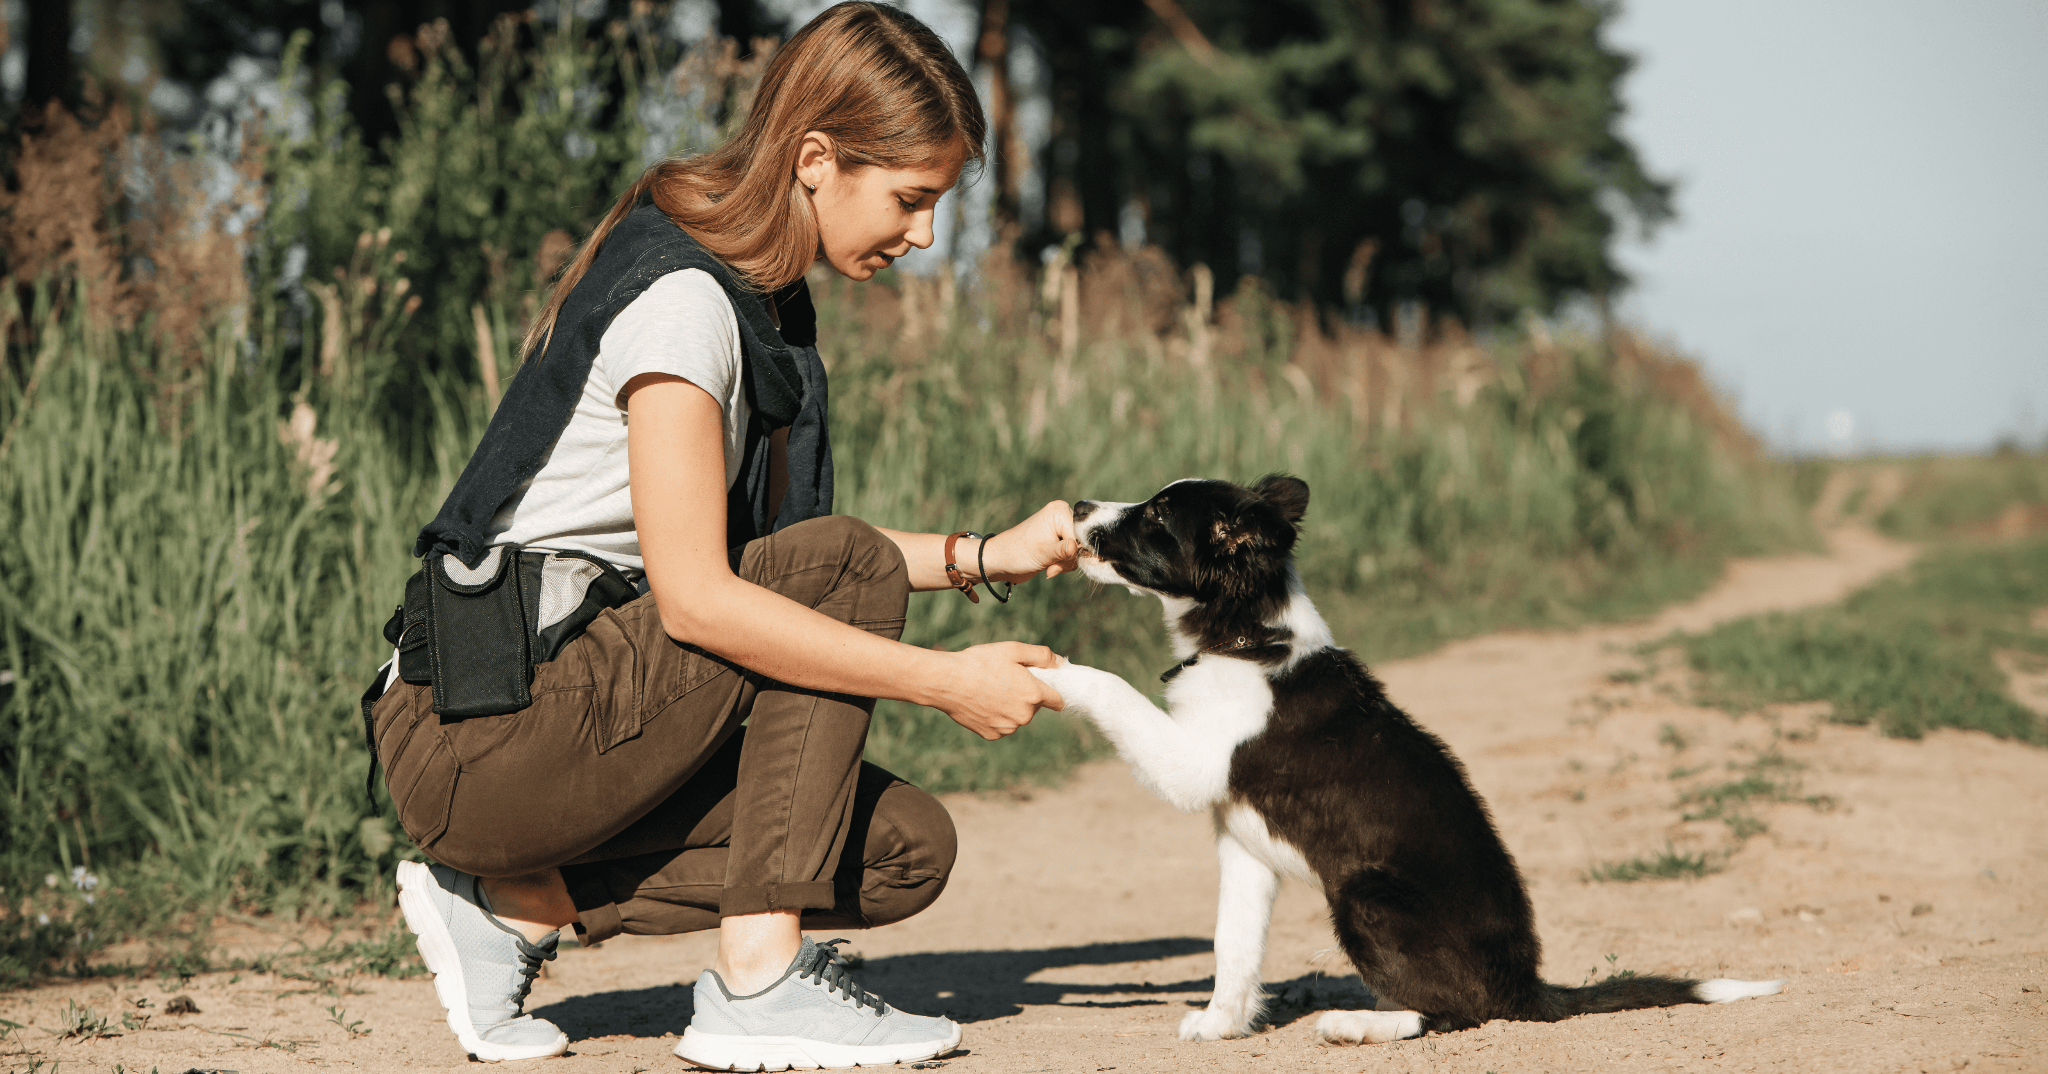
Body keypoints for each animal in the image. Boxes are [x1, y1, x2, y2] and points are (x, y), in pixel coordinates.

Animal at [1032, 475, 1785, 1041]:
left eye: (1157, 514)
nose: (1076, 507)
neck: (1244, 639)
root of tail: (1528, 988)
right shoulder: (1242, 846)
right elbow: (1232, 945)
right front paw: (1222, 1025)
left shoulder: (1192, 765)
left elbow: (1113, 688)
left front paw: (1041, 671)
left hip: (1365, 897)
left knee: (1459, 1012)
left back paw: (1356, 1024)